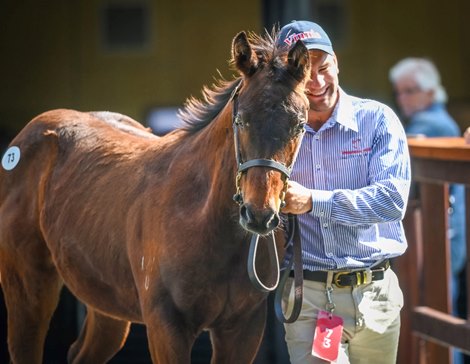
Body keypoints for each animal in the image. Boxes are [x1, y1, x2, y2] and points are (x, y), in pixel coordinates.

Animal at [0, 29, 310, 362]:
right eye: (241, 120)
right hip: (28, 287)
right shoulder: (166, 325)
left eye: (299, 125)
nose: (259, 214)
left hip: (107, 302)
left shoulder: (243, 330)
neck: (202, 217)